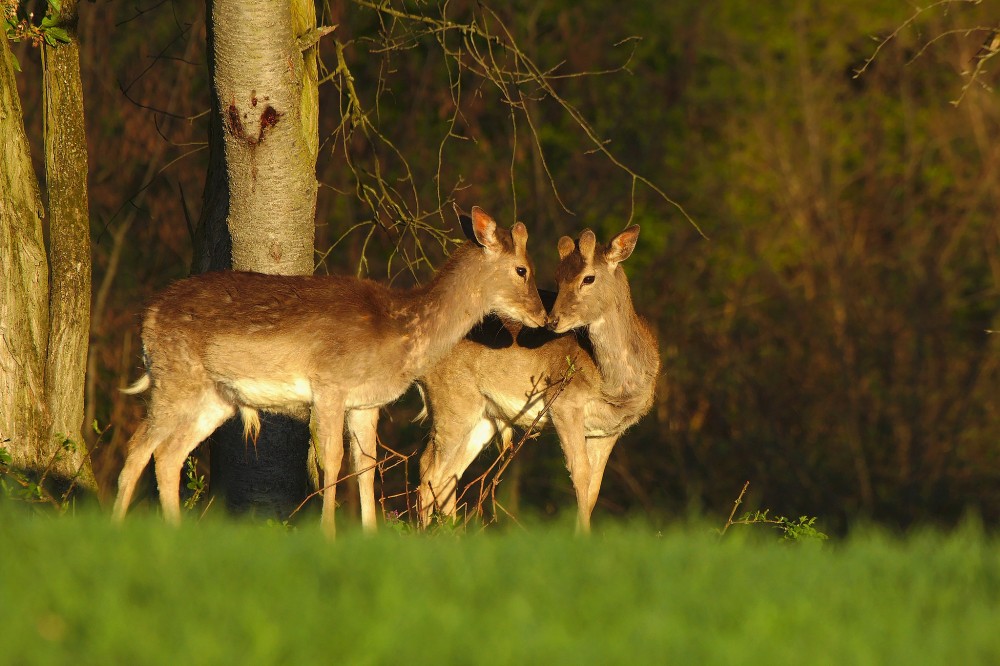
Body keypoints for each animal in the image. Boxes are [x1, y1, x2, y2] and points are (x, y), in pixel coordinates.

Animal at [114, 205, 552, 536]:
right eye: (522, 269)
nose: (543, 317)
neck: (400, 329)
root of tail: (147, 316)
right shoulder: (329, 384)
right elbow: (332, 459)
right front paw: (328, 533)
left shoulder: (366, 402)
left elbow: (367, 466)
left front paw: (371, 534)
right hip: (175, 375)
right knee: (139, 447)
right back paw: (117, 527)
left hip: (216, 397)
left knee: (168, 454)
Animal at [418, 226, 660, 532]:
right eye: (558, 277)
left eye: (588, 277)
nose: (552, 321)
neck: (615, 388)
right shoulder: (565, 403)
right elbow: (580, 474)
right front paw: (581, 537)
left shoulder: (609, 430)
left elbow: (594, 488)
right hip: (452, 399)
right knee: (429, 470)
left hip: (483, 416)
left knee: (449, 475)